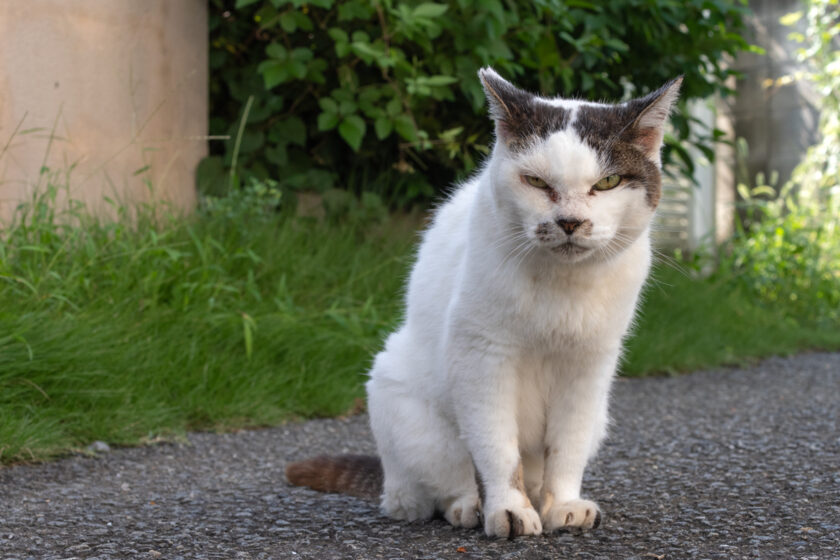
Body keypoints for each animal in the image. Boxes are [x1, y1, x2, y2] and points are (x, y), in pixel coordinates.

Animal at [286, 69, 680, 540]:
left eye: (606, 183)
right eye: (537, 182)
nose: (569, 222)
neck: (561, 286)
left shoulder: (588, 364)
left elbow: (567, 446)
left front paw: (563, 505)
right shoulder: (483, 357)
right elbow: (497, 448)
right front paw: (509, 510)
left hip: (600, 415)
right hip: (406, 403)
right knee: (440, 483)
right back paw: (467, 506)